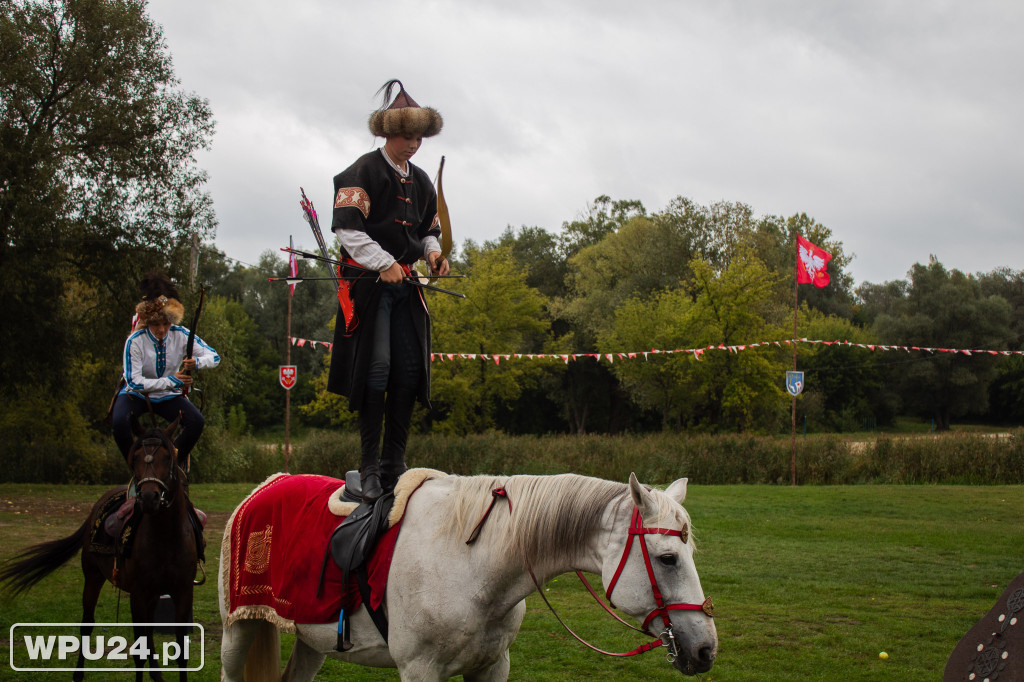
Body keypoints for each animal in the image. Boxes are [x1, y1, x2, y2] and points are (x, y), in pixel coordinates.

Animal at [0, 417, 199, 675]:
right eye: (135, 458)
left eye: (168, 457)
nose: (149, 498)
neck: (166, 537)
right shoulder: (138, 593)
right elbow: (139, 652)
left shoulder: (182, 592)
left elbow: (181, 653)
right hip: (93, 576)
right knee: (87, 624)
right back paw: (78, 675)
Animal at [222, 471, 720, 675]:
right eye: (668, 559)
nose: (706, 649)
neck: (473, 569)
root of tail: (266, 484)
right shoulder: (420, 671)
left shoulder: (491, 667)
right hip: (238, 631)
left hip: (311, 639)